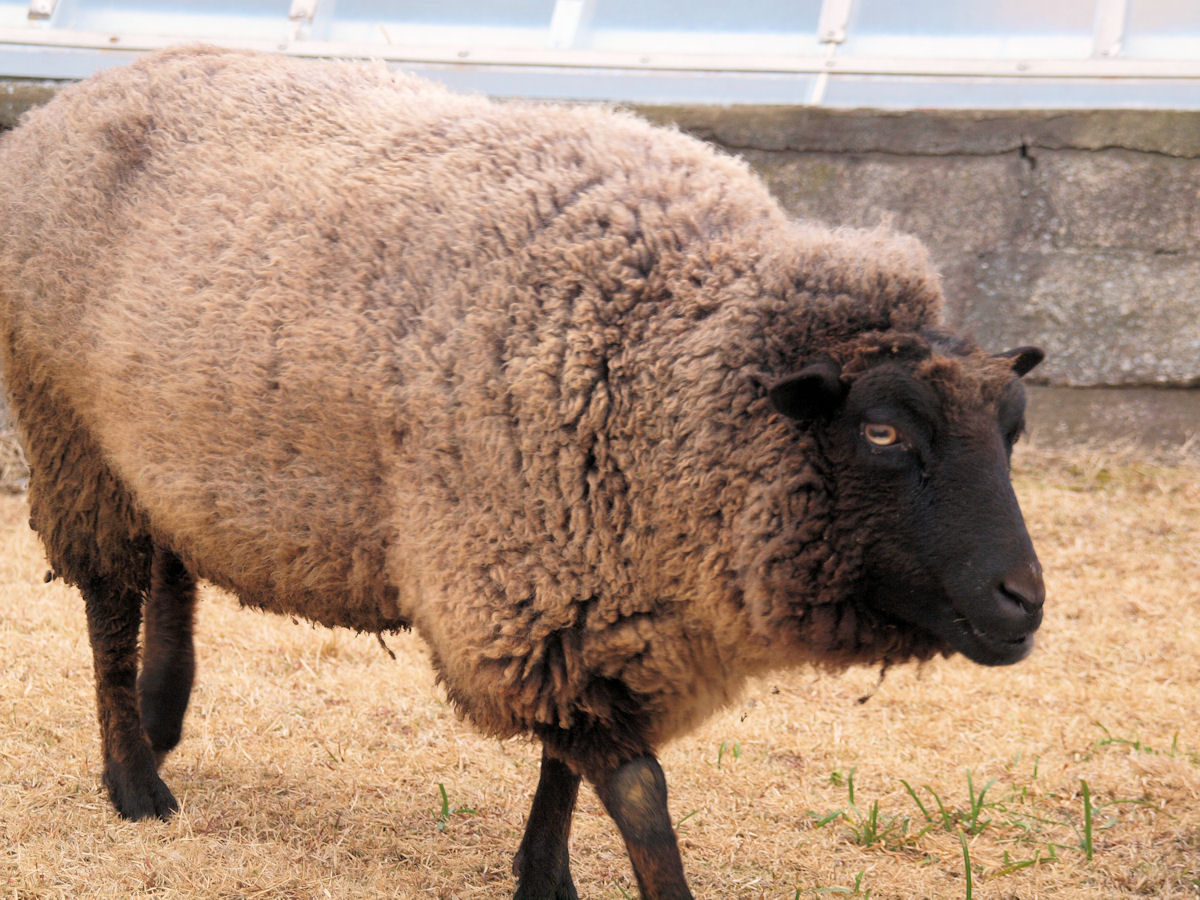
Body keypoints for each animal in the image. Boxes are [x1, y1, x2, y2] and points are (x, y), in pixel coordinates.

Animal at [0, 46, 1045, 899]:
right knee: (109, 604)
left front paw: (543, 879)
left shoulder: (585, 598)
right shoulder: (521, 583)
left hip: (156, 444)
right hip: (68, 427)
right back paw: (136, 780)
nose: (1024, 600)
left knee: (171, 564)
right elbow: (637, 791)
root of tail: (79, 99)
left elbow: (566, 772)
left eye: (1014, 429)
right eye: (882, 432)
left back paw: (164, 715)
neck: (663, 356)